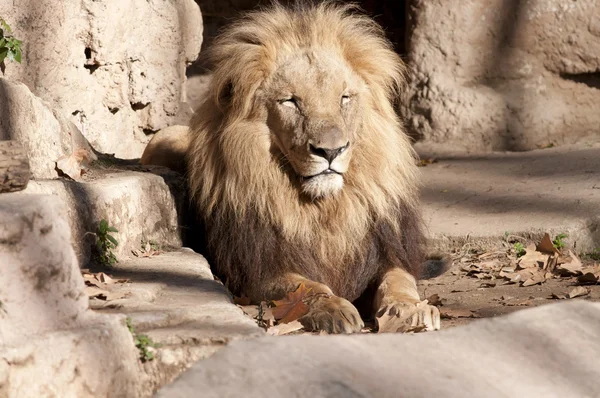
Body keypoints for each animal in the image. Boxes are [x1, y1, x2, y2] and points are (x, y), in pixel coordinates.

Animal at [142, 1, 450, 334]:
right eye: (290, 101)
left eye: (344, 98)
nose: (331, 150)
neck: (325, 208)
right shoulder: (258, 271)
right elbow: (308, 287)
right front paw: (334, 309)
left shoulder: (386, 253)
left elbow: (399, 282)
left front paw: (411, 310)